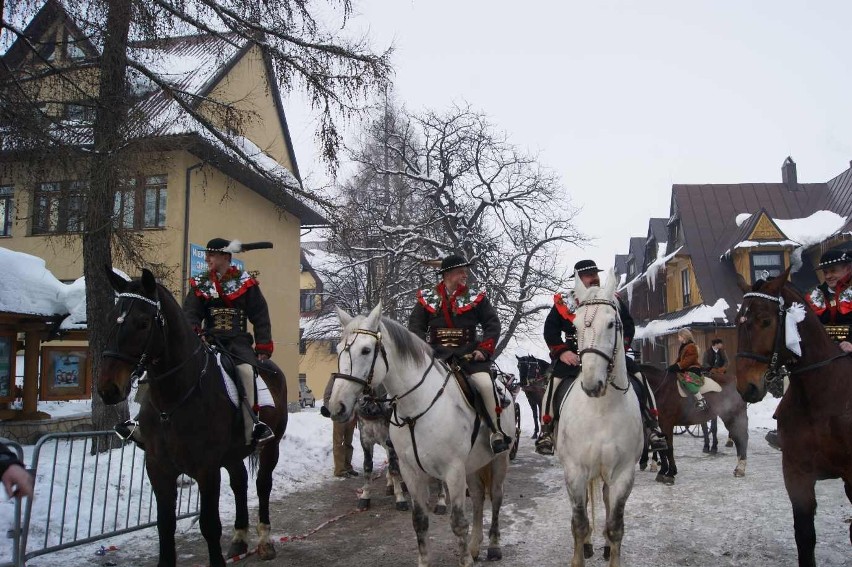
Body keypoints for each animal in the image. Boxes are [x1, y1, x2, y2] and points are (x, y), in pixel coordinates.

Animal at [98, 270, 288, 567]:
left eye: (142, 322)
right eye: (111, 318)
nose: (108, 389)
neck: (174, 399)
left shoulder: (206, 469)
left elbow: (210, 525)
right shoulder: (158, 468)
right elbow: (165, 525)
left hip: (271, 446)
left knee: (262, 485)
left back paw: (265, 541)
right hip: (232, 455)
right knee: (240, 483)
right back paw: (239, 538)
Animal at [330, 306, 516, 567]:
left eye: (366, 350)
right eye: (338, 349)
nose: (336, 406)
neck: (416, 409)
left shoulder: (452, 471)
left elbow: (458, 522)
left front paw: (465, 560)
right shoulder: (412, 471)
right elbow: (419, 521)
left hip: (499, 460)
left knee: (496, 498)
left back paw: (493, 547)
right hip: (473, 465)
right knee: (479, 499)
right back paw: (475, 546)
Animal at [556, 270, 644, 567]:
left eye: (612, 323)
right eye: (575, 327)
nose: (593, 384)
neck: (601, 410)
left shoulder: (623, 474)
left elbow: (615, 526)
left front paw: (610, 549)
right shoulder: (575, 471)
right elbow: (579, 523)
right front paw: (579, 554)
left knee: (605, 502)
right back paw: (586, 546)